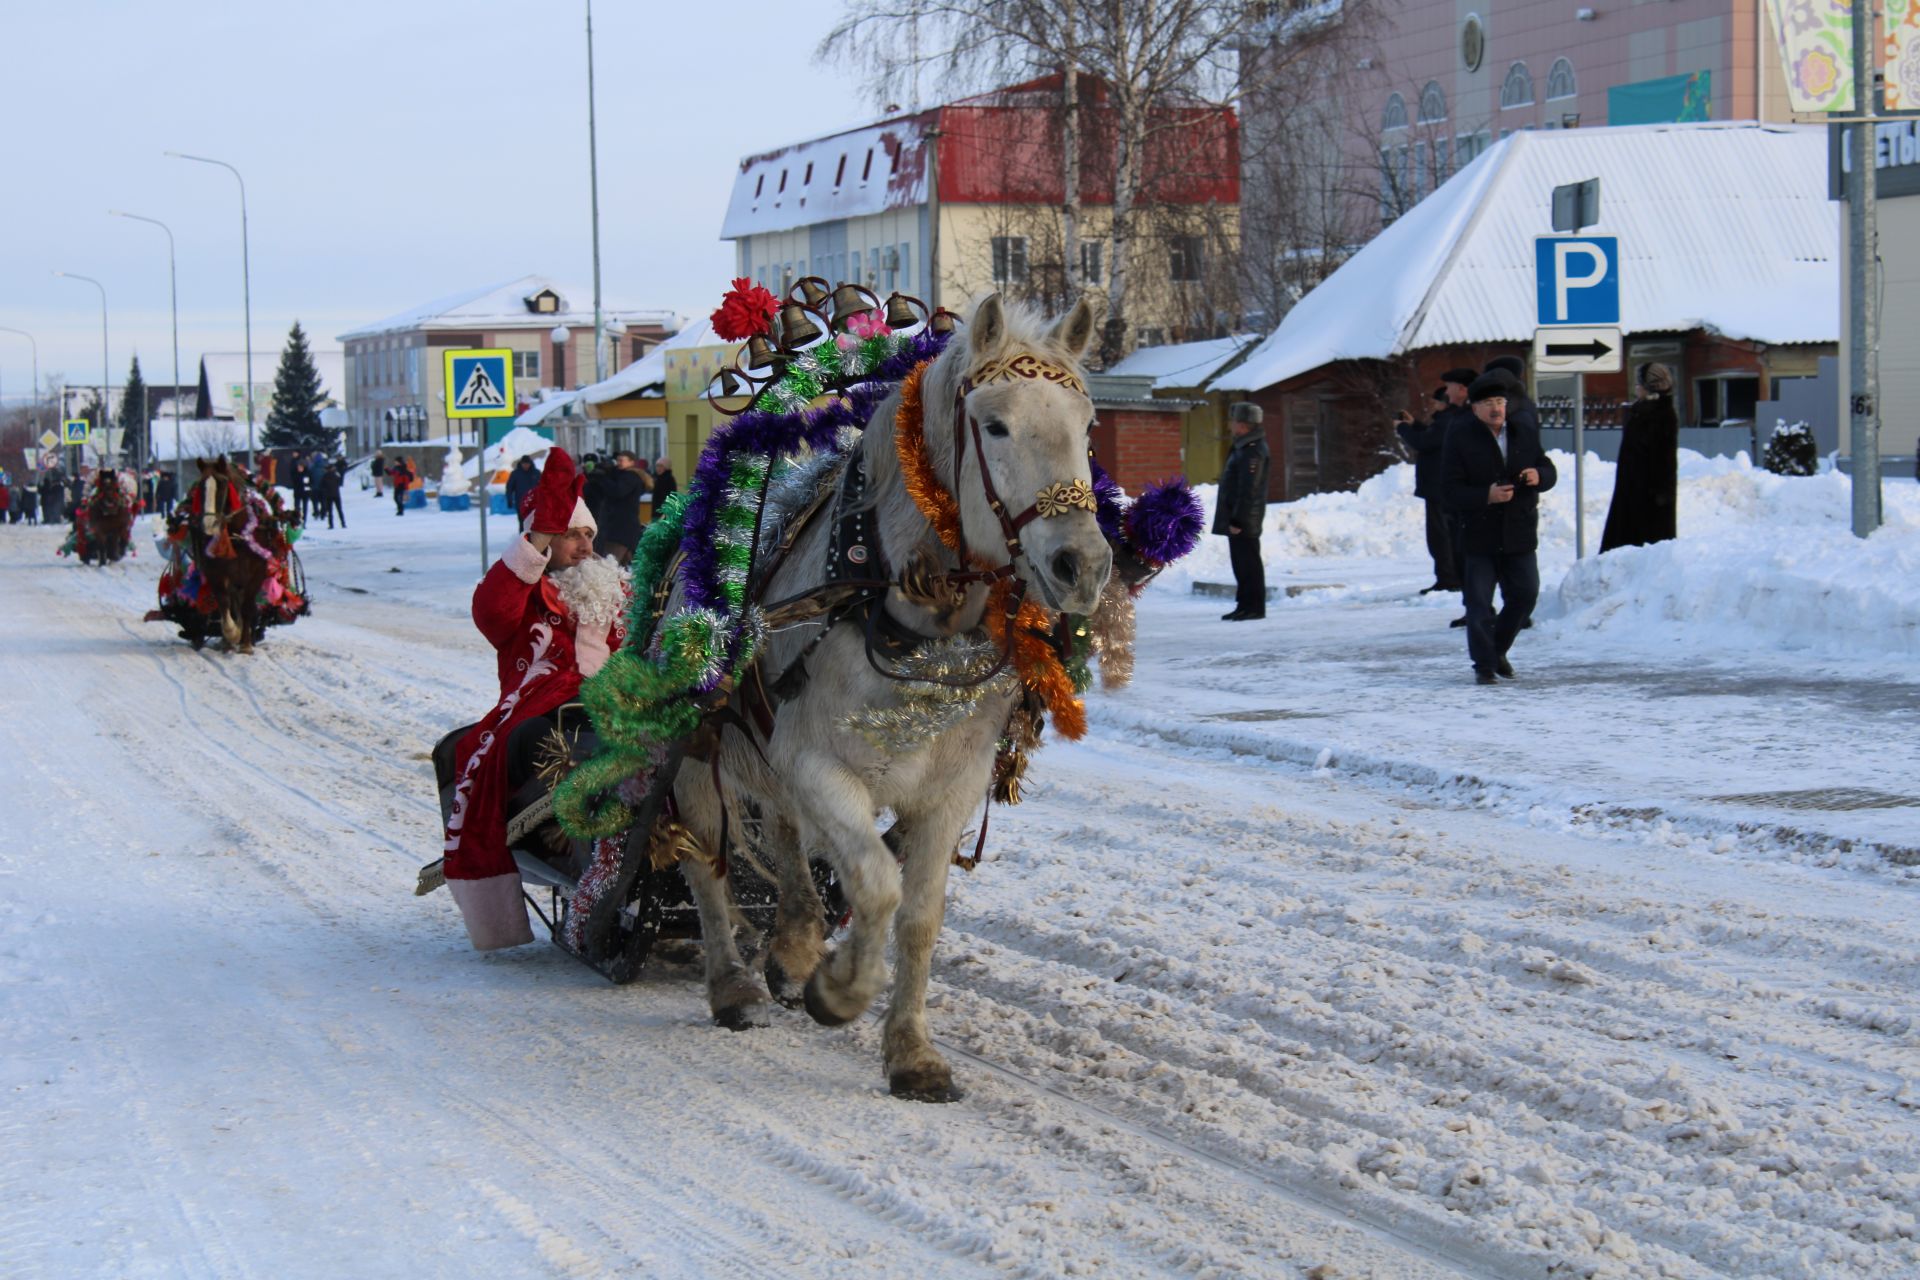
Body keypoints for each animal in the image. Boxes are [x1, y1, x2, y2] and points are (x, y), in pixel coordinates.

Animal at [188, 460, 274, 656]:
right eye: (200, 486)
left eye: (222, 485)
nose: (208, 525)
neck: (236, 536)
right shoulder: (216, 573)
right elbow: (224, 604)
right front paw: (231, 635)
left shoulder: (257, 572)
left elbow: (247, 606)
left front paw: (246, 644)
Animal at [668, 293, 1113, 1105]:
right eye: (994, 425)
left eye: (1087, 424)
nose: (1084, 565)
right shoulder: (819, 765)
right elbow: (876, 884)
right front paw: (841, 989)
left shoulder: (949, 789)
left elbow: (919, 917)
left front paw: (910, 1051)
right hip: (697, 749)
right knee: (706, 860)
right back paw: (735, 985)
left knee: (783, 836)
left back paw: (794, 945)